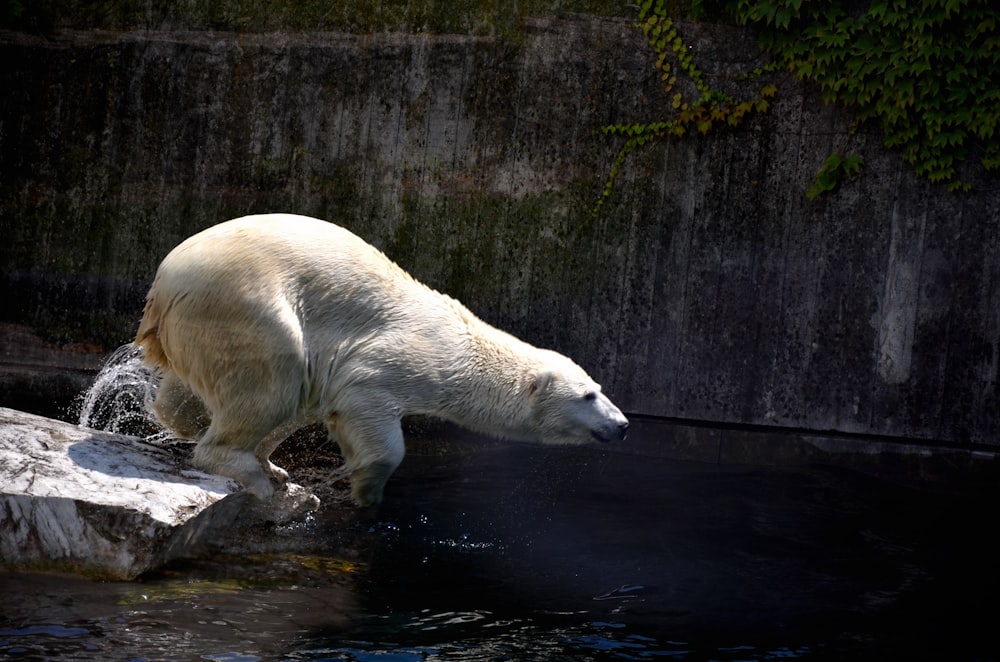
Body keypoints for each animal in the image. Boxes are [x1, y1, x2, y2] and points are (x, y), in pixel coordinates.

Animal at [137, 215, 628, 506]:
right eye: (587, 396)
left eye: (601, 389)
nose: (622, 424)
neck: (463, 344)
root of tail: (164, 283)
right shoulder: (398, 360)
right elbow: (366, 408)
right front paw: (366, 492)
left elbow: (315, 402)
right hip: (245, 308)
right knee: (273, 378)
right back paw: (257, 479)